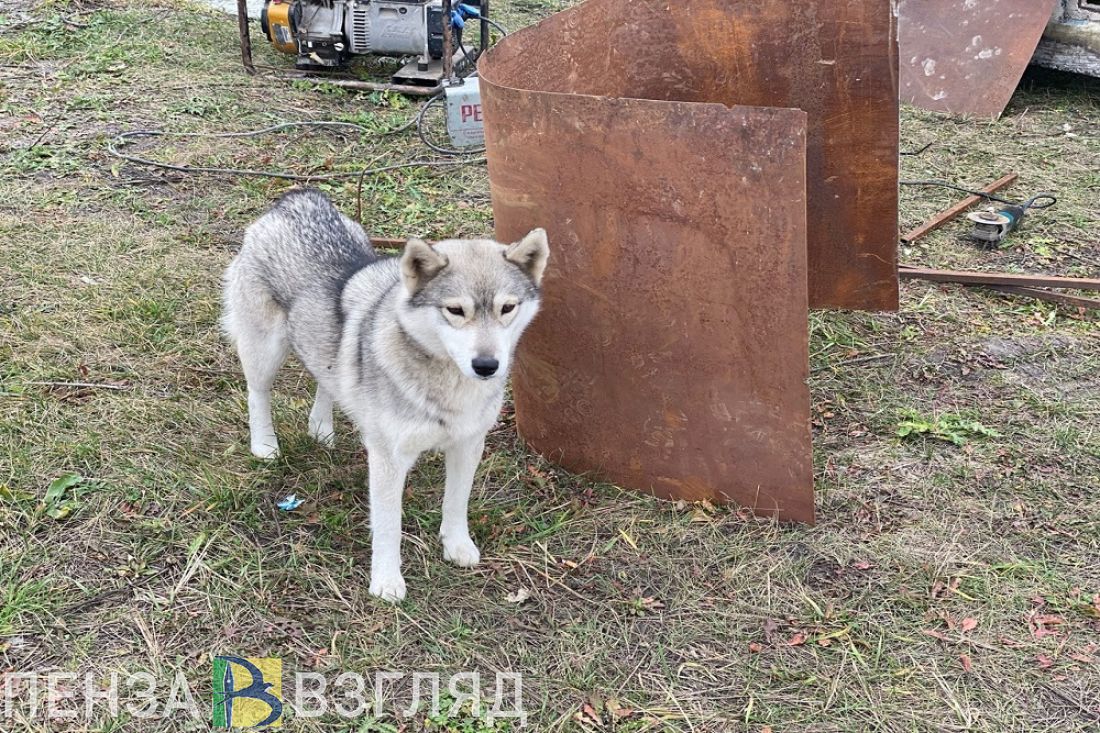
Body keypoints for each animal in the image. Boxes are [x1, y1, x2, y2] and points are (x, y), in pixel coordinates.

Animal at [222, 188, 550, 598]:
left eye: (507, 307)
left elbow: (456, 503)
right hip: (265, 352)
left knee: (327, 377)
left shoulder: (467, 445)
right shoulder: (388, 461)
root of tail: (299, 198)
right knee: (257, 393)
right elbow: (388, 527)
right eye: (455, 310)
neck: (446, 383)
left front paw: (457, 545)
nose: (487, 365)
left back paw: (321, 428)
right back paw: (264, 445)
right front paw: (386, 581)